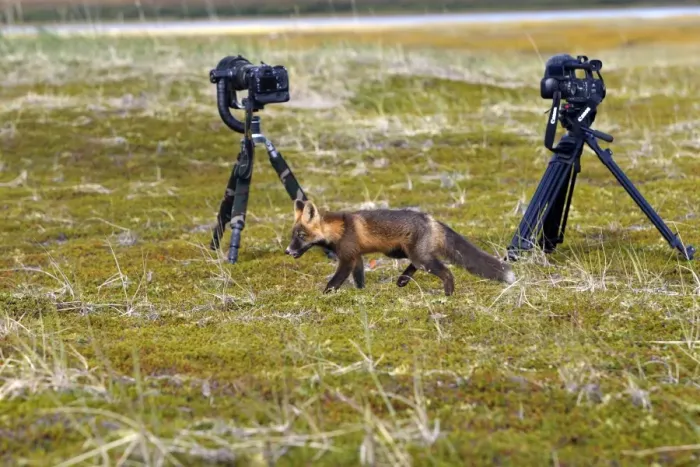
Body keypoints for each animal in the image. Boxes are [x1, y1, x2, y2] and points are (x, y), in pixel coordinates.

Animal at [284, 199, 516, 296]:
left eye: (301, 236)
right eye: (293, 235)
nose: (288, 251)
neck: (339, 230)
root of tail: (431, 219)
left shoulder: (347, 258)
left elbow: (334, 281)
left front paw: (323, 295)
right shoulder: (357, 257)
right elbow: (359, 279)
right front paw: (361, 293)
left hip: (419, 258)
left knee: (446, 271)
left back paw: (448, 294)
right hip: (403, 253)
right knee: (415, 265)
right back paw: (403, 280)